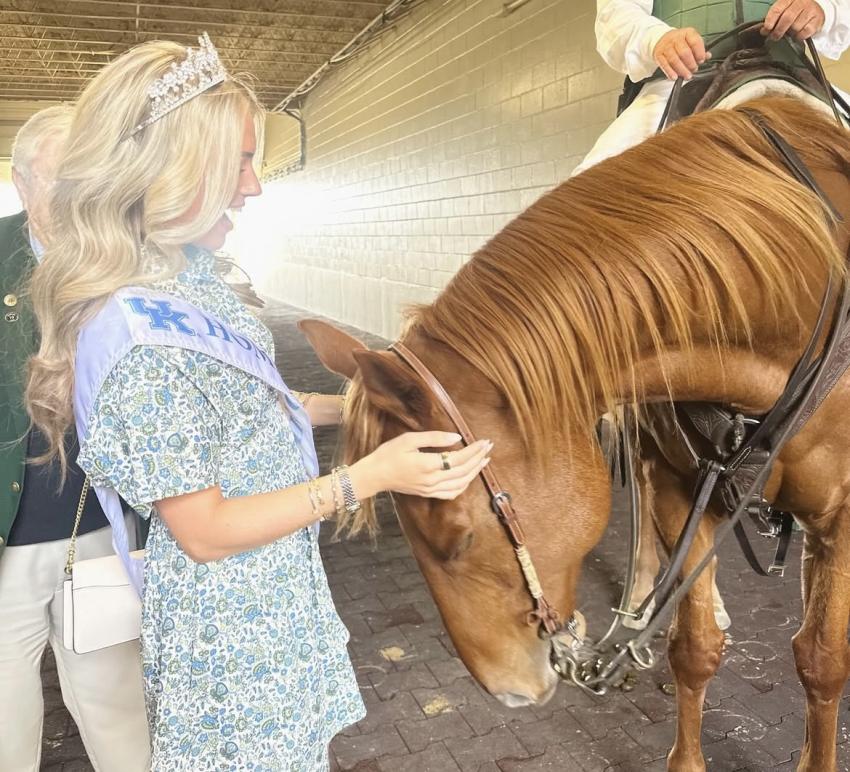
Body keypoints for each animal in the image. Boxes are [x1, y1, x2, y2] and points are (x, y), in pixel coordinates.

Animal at [302, 96, 850, 771]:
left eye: (457, 539)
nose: (507, 692)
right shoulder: (680, 490)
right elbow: (695, 648)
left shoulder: (839, 518)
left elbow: (822, 660)